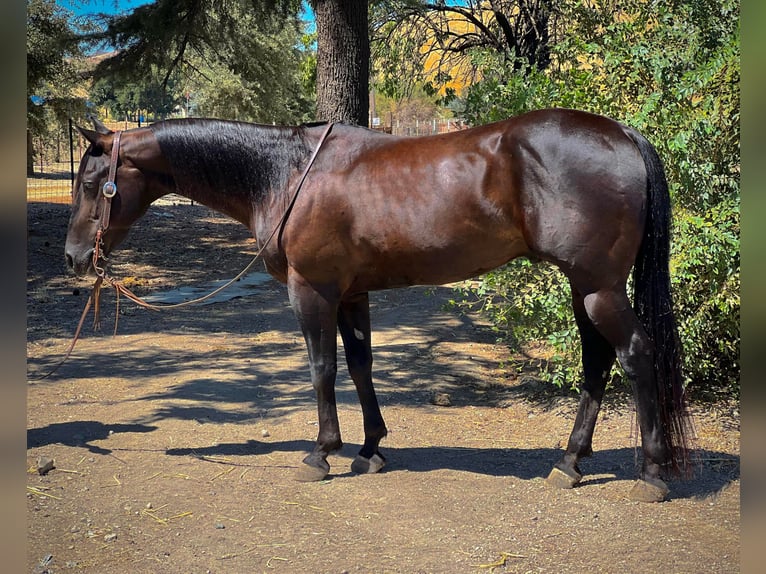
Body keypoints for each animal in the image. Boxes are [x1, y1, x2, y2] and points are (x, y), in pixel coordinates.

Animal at [64, 109, 696, 504]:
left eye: (95, 184)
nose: (72, 258)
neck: (287, 174)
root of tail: (622, 135)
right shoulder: (351, 292)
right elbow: (360, 366)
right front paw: (370, 449)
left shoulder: (312, 290)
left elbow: (322, 369)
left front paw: (321, 453)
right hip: (583, 287)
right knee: (596, 362)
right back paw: (569, 463)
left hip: (598, 287)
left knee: (635, 354)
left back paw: (651, 472)